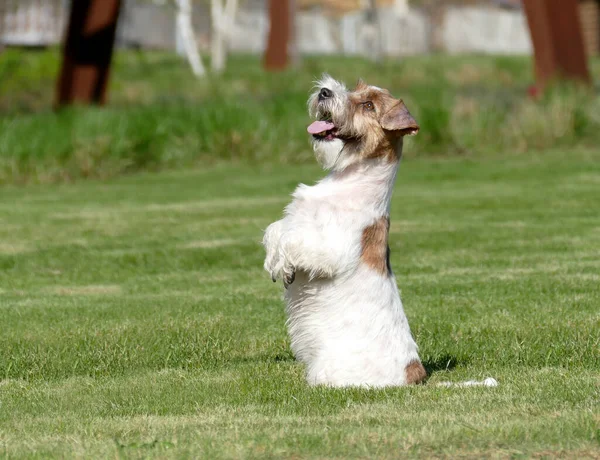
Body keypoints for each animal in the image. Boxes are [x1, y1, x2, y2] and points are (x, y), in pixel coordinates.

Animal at [262, 75, 426, 388]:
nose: (325, 91)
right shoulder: (295, 221)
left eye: (369, 105)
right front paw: (276, 263)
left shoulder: (328, 249)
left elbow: (291, 241)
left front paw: (281, 266)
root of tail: (413, 374)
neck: (349, 178)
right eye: (355, 89)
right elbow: (276, 230)